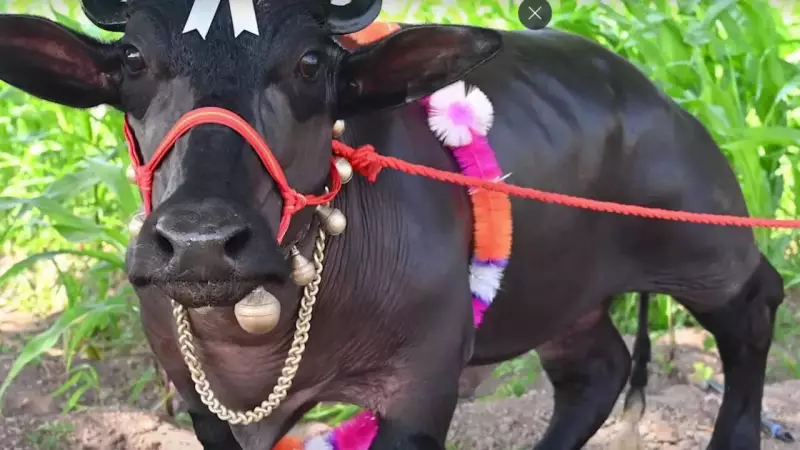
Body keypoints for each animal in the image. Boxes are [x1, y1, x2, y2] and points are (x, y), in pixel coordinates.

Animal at [0, 0, 784, 449]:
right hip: (562, 294)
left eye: (310, 62)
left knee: (757, 302)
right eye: (134, 58)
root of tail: (654, 94)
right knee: (596, 371)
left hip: (706, 244)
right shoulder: (202, 404)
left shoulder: (421, 390)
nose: (200, 242)